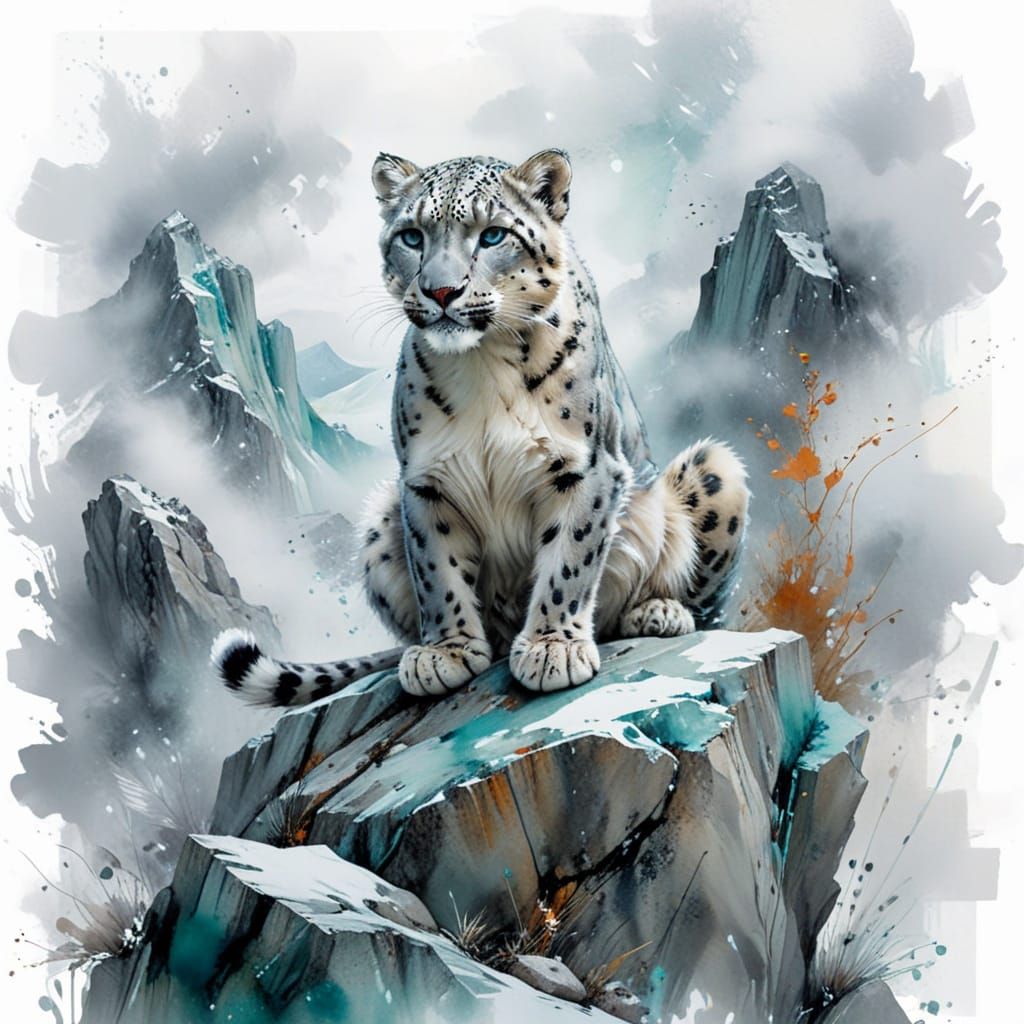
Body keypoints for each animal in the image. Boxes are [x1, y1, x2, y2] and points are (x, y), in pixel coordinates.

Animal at [213, 149, 749, 704]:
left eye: (492, 235)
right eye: (412, 237)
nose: (441, 291)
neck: (484, 364)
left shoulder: (586, 468)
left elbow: (570, 561)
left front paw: (552, 646)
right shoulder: (424, 480)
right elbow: (437, 569)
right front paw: (446, 652)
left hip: (714, 468)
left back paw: (658, 610)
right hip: (380, 516)